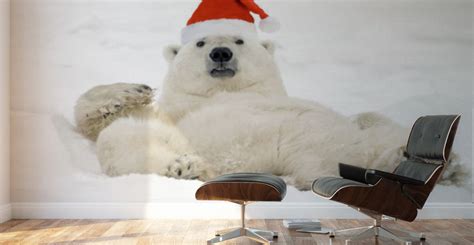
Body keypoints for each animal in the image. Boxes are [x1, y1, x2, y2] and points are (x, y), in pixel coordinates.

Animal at [73, 35, 462, 190]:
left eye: (239, 39)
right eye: (200, 42)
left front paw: (132, 90)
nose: (220, 53)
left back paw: (446, 166)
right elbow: (109, 126)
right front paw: (130, 91)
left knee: (376, 129)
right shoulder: (175, 116)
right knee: (120, 143)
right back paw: (184, 166)